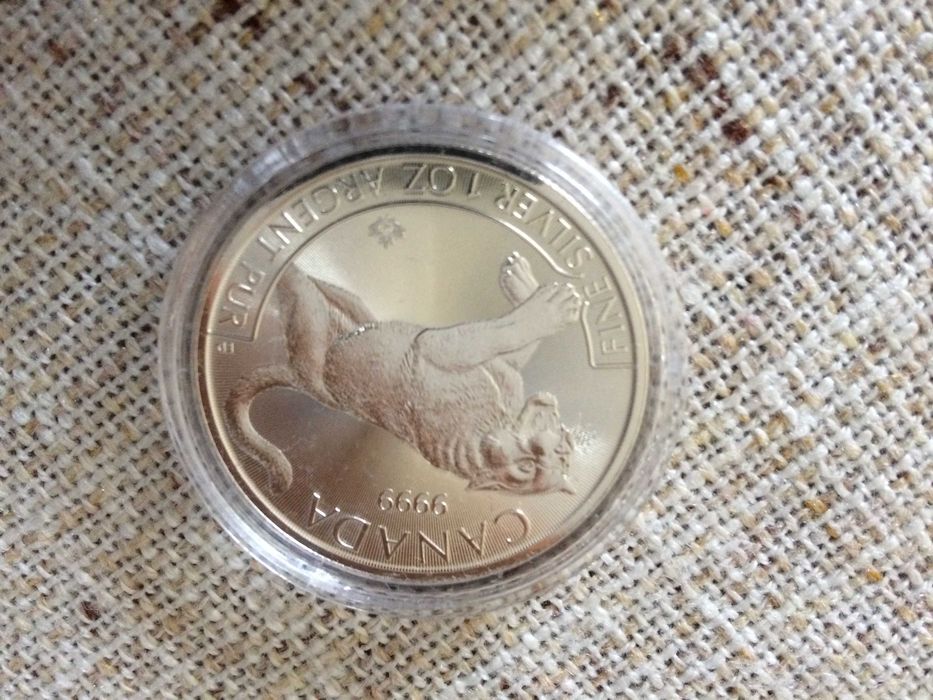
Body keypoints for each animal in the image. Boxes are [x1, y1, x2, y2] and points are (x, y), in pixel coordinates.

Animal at [226, 251, 582, 495]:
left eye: (527, 467)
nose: (542, 447)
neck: (493, 425)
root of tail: (297, 377)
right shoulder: (482, 360)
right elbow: (505, 334)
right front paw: (531, 289)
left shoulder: (437, 346)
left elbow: (501, 332)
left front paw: (549, 305)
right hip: (351, 307)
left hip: (310, 322)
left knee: (299, 288)